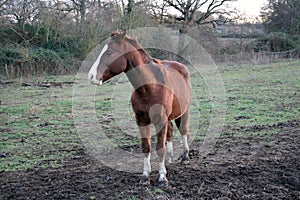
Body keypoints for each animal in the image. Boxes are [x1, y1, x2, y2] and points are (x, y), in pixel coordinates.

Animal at [88, 31, 191, 184]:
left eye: (110, 52)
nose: (91, 76)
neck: (149, 87)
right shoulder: (141, 120)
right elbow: (146, 147)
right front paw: (145, 175)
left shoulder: (160, 120)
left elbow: (160, 148)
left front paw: (162, 177)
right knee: (171, 131)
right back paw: (169, 160)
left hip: (184, 111)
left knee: (183, 130)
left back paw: (185, 157)